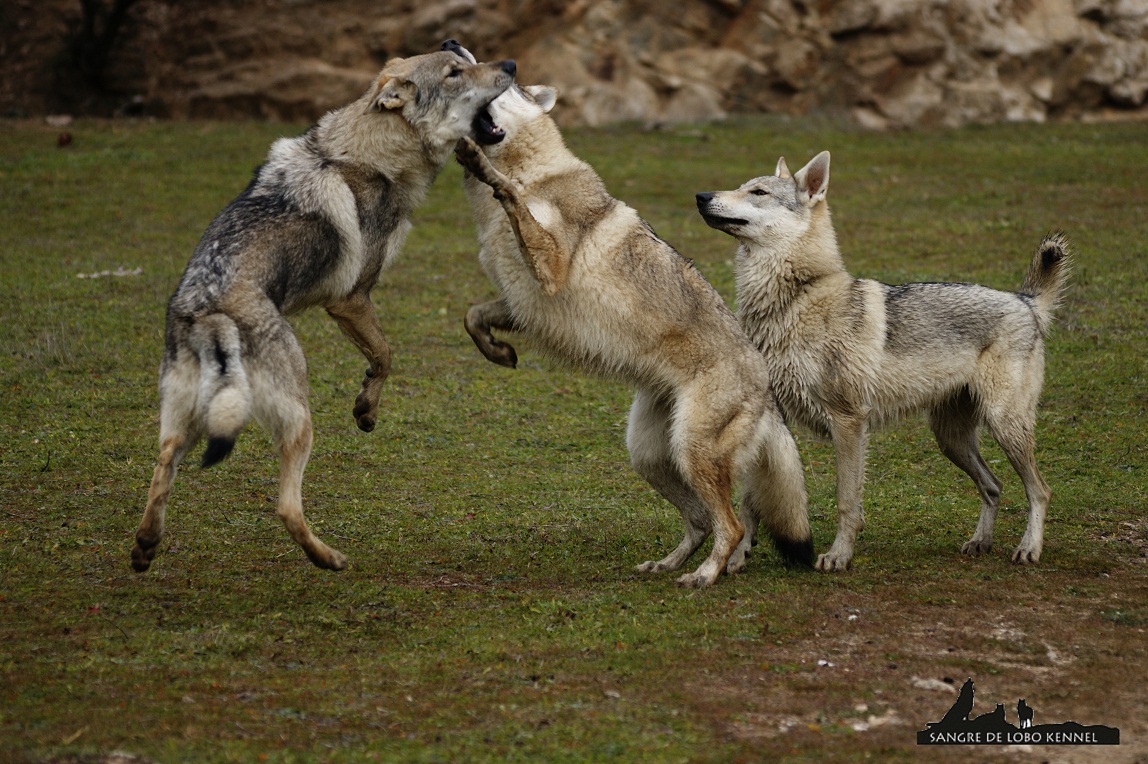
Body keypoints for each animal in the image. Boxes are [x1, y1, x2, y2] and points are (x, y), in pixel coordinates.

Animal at [129, 46, 516, 571]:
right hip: (299, 419)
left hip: (184, 423)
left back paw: (146, 546)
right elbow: (385, 356)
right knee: (286, 506)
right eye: (456, 72)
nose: (512, 65)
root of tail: (209, 313)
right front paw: (366, 410)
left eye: (461, 58)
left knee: (164, 462)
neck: (367, 154)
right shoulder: (350, 299)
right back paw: (329, 558)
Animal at [452, 83, 812, 585]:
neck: (537, 172)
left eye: (503, 79)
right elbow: (472, 316)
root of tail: (767, 385)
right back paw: (669, 564)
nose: (455, 56)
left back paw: (704, 576)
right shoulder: (524, 303)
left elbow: (510, 193)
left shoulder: (548, 273)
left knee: (733, 525)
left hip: (691, 452)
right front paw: (498, 352)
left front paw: (487, 171)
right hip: (649, 456)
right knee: (703, 521)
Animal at [693, 151, 1069, 568]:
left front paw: (838, 556)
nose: (701, 195)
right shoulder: (774, 419)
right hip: (951, 439)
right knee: (994, 485)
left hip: (1004, 427)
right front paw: (738, 557)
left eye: (758, 192)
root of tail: (1025, 301)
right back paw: (980, 542)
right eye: (742, 186)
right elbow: (750, 501)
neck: (795, 298)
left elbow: (846, 502)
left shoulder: (849, 422)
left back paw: (1029, 548)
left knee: (1040, 490)